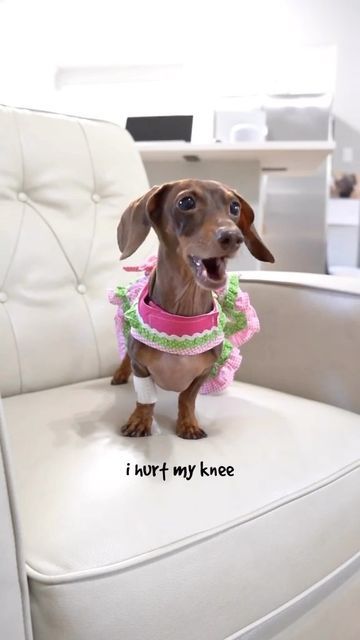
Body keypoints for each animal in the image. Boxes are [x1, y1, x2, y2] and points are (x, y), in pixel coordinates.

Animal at [111, 180, 274, 440]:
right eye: (186, 202)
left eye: (235, 207)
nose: (233, 237)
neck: (182, 315)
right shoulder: (141, 366)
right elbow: (145, 400)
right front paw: (140, 421)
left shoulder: (203, 371)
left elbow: (187, 398)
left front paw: (188, 424)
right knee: (126, 354)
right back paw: (119, 374)